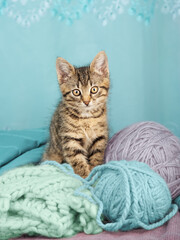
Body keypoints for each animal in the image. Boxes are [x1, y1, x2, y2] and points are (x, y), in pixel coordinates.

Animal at [42, 50, 109, 178]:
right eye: (76, 92)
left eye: (94, 89)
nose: (86, 102)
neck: (87, 118)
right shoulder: (70, 139)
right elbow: (77, 160)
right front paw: (85, 178)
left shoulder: (100, 136)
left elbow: (97, 155)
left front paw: (95, 171)